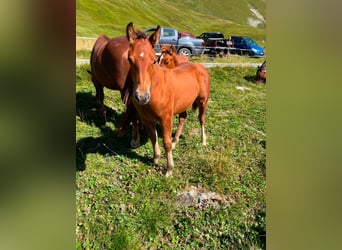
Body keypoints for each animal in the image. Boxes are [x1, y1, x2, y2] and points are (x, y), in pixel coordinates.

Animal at [126, 22, 210, 177]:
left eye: (153, 60)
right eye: (129, 59)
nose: (142, 97)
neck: (155, 88)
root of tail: (200, 66)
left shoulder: (166, 118)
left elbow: (166, 142)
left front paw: (169, 169)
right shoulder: (146, 119)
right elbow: (153, 137)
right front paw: (155, 159)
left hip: (203, 101)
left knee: (201, 119)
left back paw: (203, 140)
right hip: (183, 103)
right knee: (183, 117)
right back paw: (176, 139)